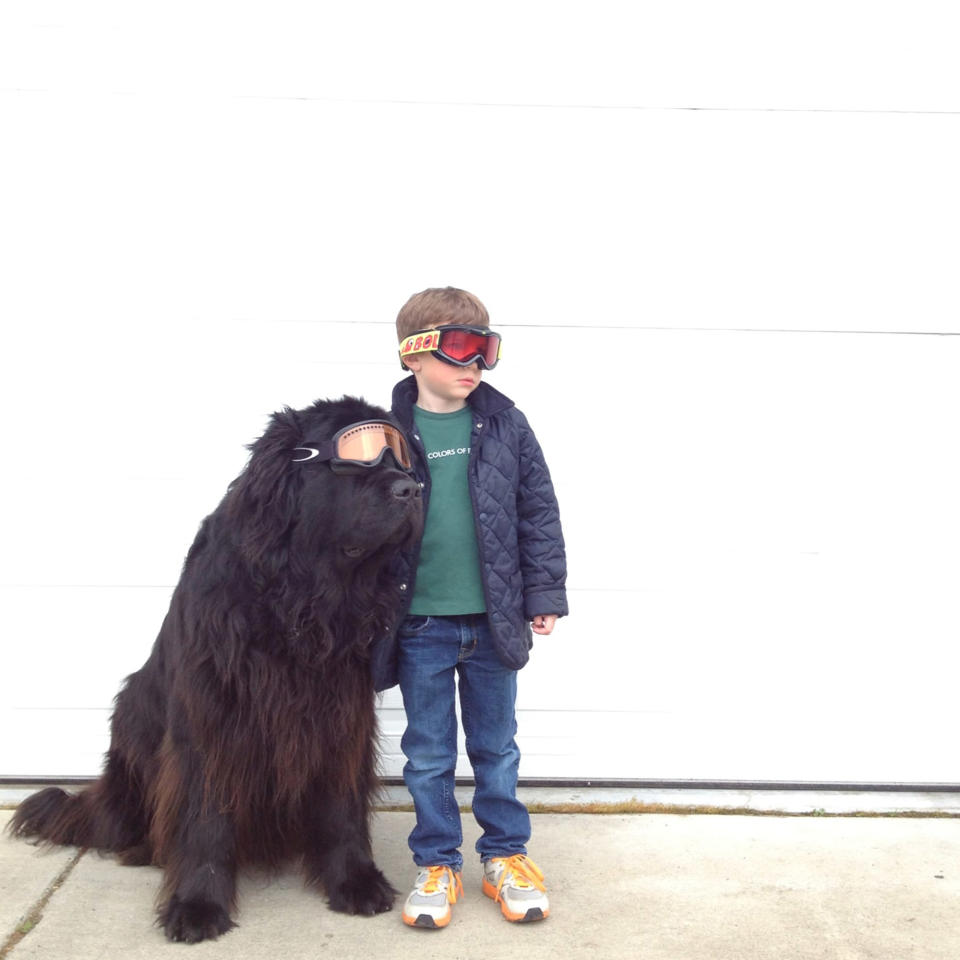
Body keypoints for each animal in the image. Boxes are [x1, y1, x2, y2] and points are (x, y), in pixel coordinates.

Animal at [7, 394, 420, 940]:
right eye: (356, 457)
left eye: (402, 459)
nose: (411, 488)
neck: (300, 599)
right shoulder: (214, 717)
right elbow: (205, 816)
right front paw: (197, 905)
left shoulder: (340, 715)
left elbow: (342, 805)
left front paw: (355, 881)